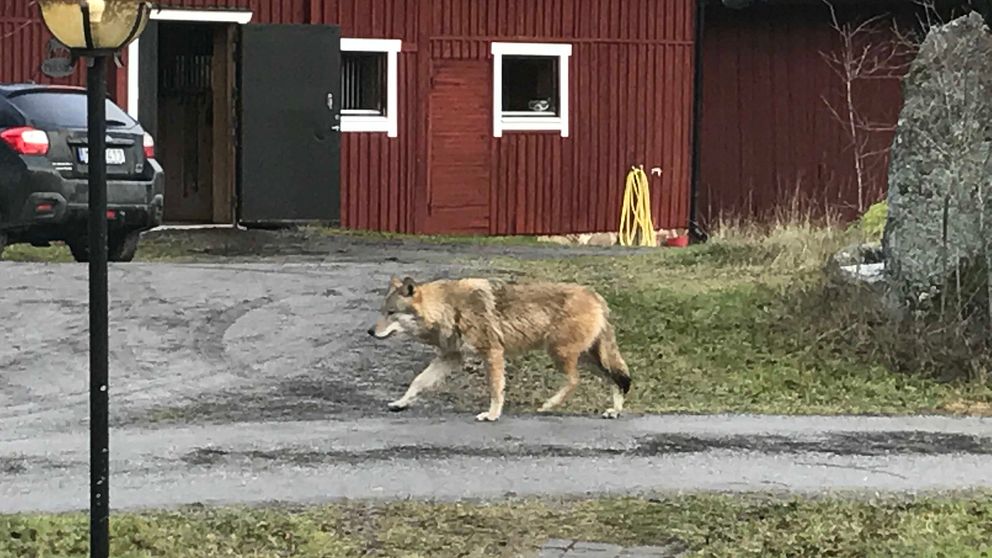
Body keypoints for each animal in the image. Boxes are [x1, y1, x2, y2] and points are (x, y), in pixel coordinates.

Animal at [368, 274, 632, 422]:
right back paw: (614, 411)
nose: (370, 331)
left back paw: (548, 405)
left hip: (561, 354)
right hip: (587, 358)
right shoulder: (451, 357)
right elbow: (418, 382)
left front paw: (492, 415)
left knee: (577, 381)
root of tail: (596, 296)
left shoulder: (493, 353)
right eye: (382, 312)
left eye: (391, 313)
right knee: (617, 379)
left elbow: (495, 389)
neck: (449, 308)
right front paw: (401, 403)